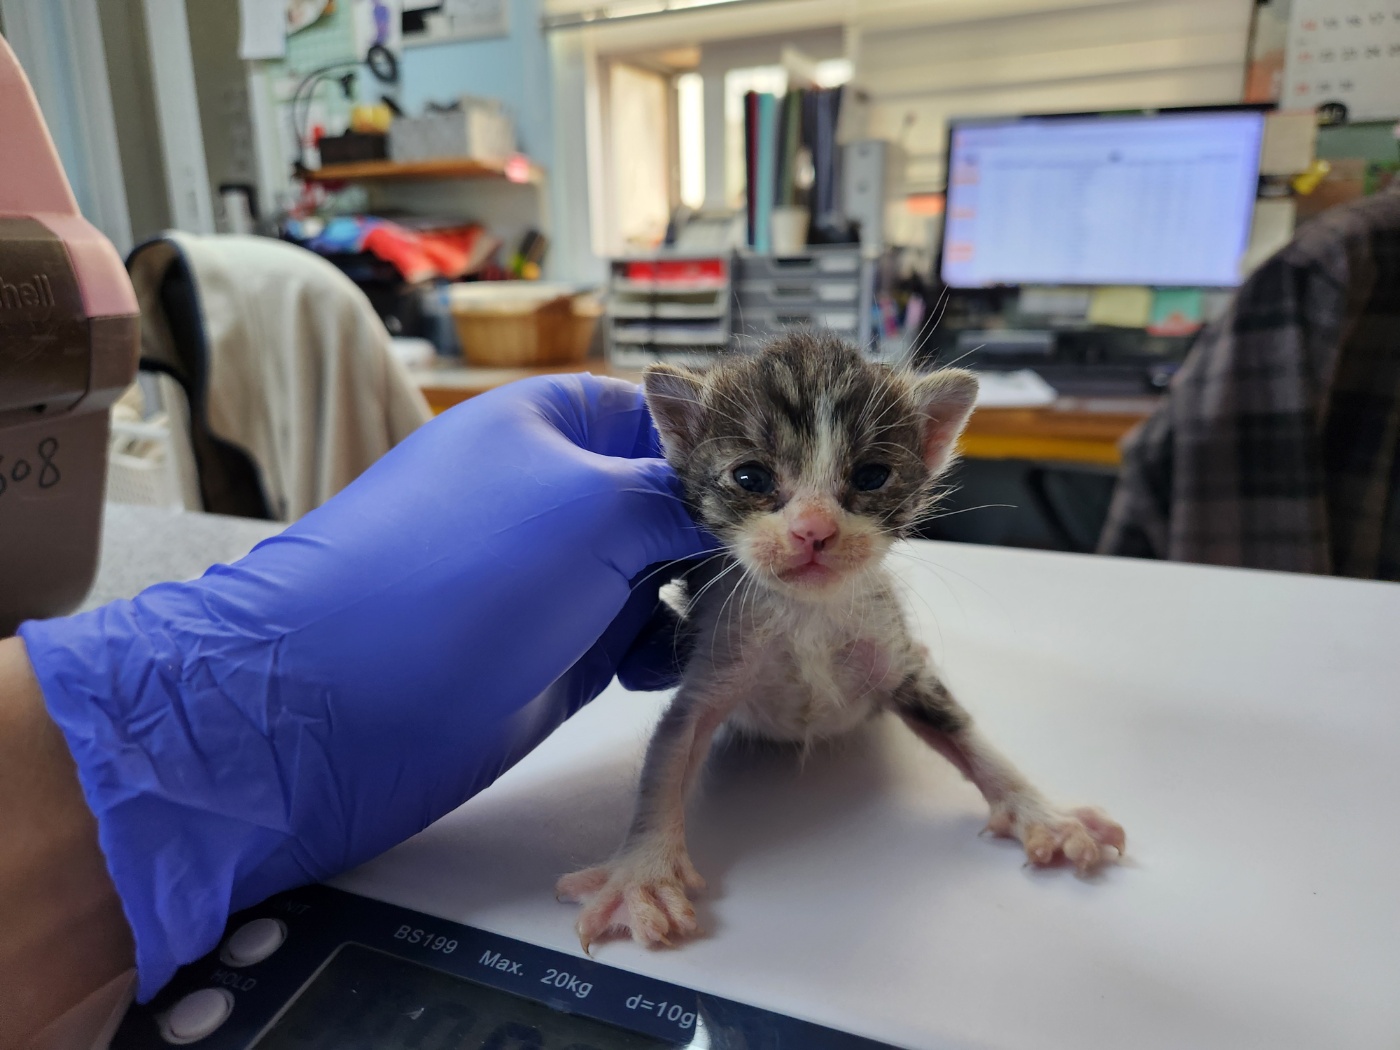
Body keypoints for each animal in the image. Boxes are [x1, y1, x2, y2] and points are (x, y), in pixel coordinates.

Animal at [551, 334, 1120, 952]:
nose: (814, 530)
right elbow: (669, 754)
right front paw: (643, 875)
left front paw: (1043, 816)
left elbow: (966, 734)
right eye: (750, 478)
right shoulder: (717, 655)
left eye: (871, 476)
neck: (808, 614)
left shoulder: (892, 655)